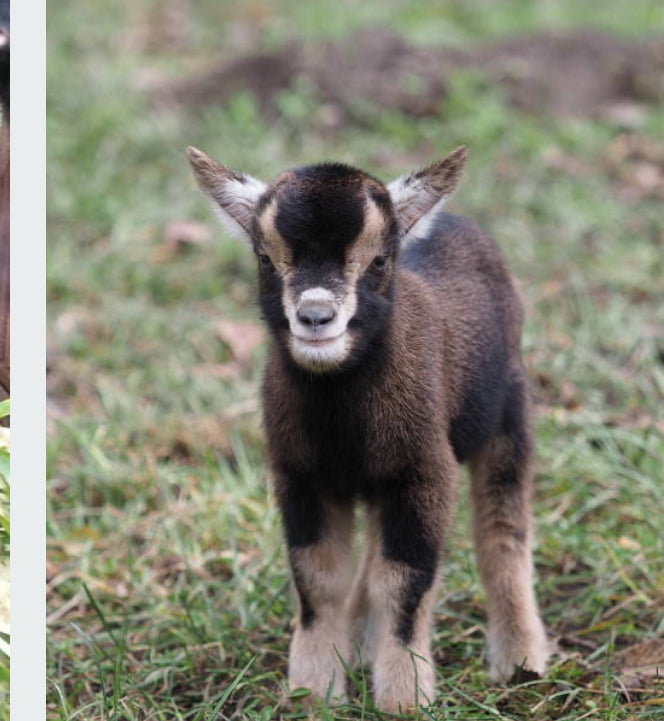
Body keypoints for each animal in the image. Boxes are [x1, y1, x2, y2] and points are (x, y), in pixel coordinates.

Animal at [188, 145, 549, 713]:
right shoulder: (301, 477)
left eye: (379, 260)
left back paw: (520, 660)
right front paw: (312, 691)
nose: (315, 317)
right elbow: (319, 580)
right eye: (266, 259)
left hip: (509, 413)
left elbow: (404, 583)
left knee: (502, 530)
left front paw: (404, 699)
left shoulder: (425, 473)